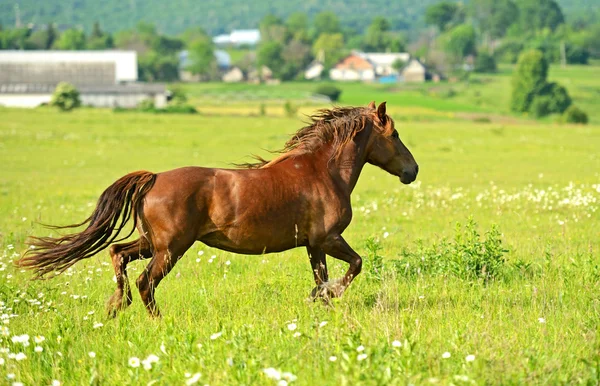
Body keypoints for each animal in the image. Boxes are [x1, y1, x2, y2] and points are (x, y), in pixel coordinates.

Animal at [15, 102, 418, 316]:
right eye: (395, 135)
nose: (412, 171)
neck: (322, 171)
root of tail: (153, 179)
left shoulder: (314, 244)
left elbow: (321, 277)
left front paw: (321, 303)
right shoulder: (329, 238)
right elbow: (355, 265)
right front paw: (330, 296)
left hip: (152, 243)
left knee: (117, 254)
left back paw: (117, 305)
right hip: (171, 248)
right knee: (146, 281)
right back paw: (156, 320)